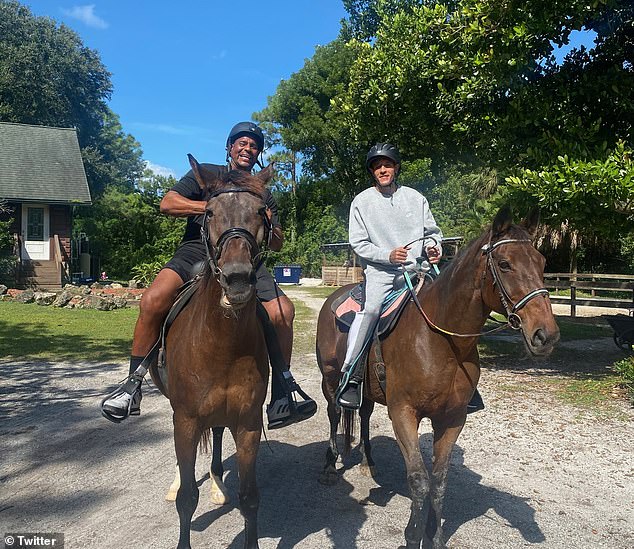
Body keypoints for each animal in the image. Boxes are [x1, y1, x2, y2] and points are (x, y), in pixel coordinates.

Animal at [151, 154, 274, 548]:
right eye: (208, 213)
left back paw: (219, 482)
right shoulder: (187, 419)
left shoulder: (248, 423)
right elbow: (188, 497)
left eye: (261, 212)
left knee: (218, 434)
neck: (222, 345)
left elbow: (250, 497)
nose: (237, 279)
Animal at [314, 207, 556, 548]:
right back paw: (328, 467)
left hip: (368, 391)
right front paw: (413, 535)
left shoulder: (452, 418)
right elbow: (419, 480)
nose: (545, 335)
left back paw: (367, 463)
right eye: (505, 264)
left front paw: (435, 535)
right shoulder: (403, 413)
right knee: (335, 413)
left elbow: (439, 482)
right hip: (331, 380)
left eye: (542, 263)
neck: (439, 341)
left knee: (363, 414)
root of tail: (336, 295)